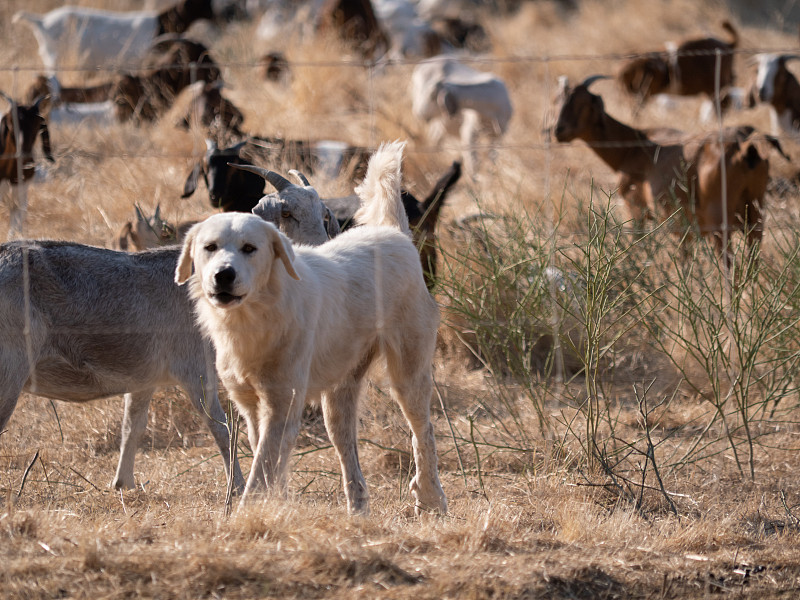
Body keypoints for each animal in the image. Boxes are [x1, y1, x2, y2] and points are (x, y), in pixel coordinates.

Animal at [175, 142, 446, 516]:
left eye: (250, 248)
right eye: (209, 247)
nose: (223, 277)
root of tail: (395, 233)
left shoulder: (284, 398)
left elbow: (265, 461)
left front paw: (248, 514)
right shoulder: (248, 401)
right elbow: (263, 453)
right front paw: (275, 505)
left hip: (409, 363)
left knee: (422, 426)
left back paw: (431, 499)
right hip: (343, 381)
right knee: (343, 436)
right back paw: (358, 507)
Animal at [552, 74, 784, 262]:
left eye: (583, 103)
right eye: (559, 101)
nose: (558, 131)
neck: (633, 147)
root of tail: (746, 145)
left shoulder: (637, 210)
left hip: (719, 220)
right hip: (755, 215)